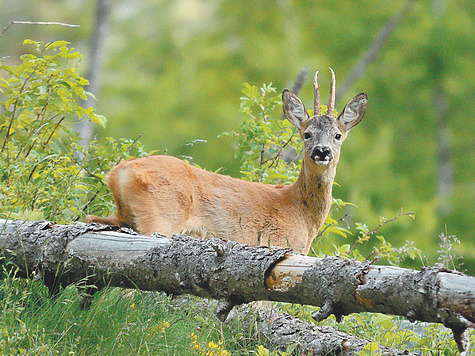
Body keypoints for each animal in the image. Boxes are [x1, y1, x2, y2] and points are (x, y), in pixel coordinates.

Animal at [86, 68, 368, 254]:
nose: (322, 151)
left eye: (338, 135)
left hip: (121, 216)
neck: (301, 211)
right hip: (160, 218)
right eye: (307, 134)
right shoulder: (276, 243)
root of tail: (119, 172)